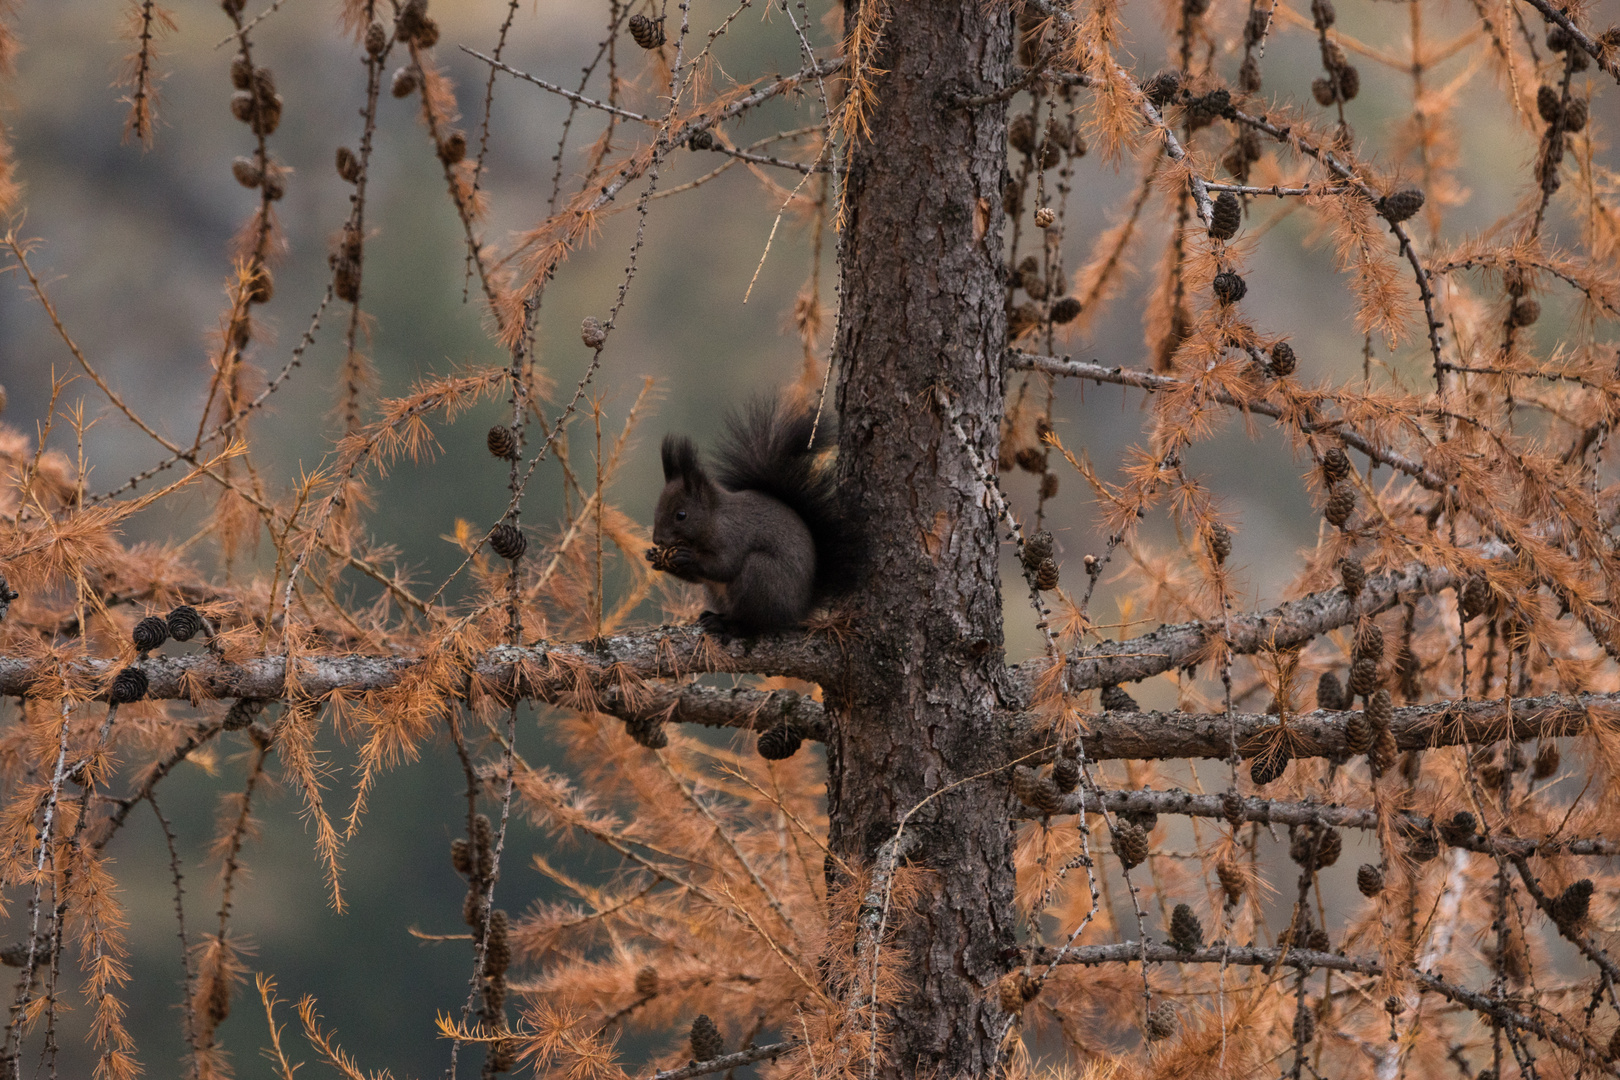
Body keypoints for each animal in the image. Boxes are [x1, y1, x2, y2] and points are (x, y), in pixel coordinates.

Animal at [651, 395, 868, 634]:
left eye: (681, 515)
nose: (657, 540)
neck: (713, 519)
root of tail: (798, 610)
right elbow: (698, 578)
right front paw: (655, 558)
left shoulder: (732, 536)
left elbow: (724, 566)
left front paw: (686, 556)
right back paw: (714, 615)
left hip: (761, 576)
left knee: (753, 622)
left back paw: (726, 624)